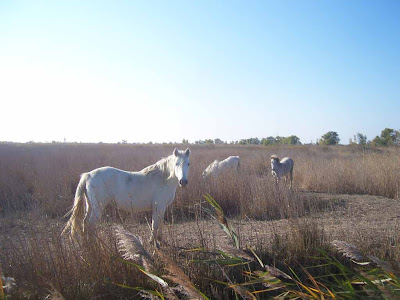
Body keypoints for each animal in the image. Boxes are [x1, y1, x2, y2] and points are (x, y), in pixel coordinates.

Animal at [62, 149, 191, 243]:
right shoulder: (158, 206)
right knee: (89, 224)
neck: (162, 179)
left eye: (188, 164)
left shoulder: (162, 208)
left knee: (85, 223)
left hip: (91, 206)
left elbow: (160, 225)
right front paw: (153, 243)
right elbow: (155, 225)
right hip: (97, 207)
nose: (183, 182)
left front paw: (160, 240)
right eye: (176, 163)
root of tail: (88, 175)